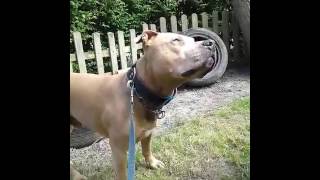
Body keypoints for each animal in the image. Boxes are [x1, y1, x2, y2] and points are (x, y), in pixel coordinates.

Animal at [70, 30, 215, 179]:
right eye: (175, 40)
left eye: (193, 40)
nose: (211, 42)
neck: (138, 92)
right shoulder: (118, 149)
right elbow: (122, 173)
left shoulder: (148, 132)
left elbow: (146, 148)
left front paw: (152, 163)